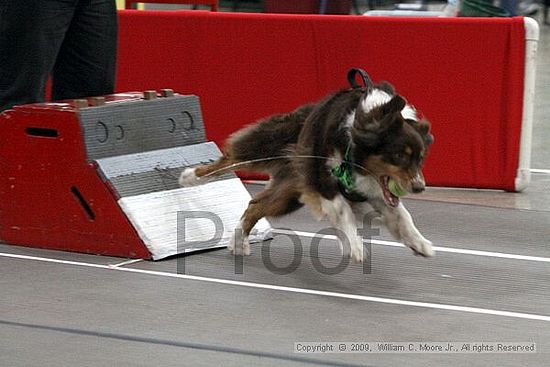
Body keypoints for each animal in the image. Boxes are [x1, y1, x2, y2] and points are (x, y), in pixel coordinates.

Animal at [180, 77, 436, 264]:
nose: (419, 187)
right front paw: (354, 245)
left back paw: (238, 243)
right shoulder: (321, 179)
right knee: (230, 159)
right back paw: (189, 177)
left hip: (289, 193)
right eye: (399, 156)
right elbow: (343, 211)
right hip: (271, 147)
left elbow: (402, 216)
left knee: (255, 206)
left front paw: (420, 243)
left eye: (421, 158)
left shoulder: (371, 191)